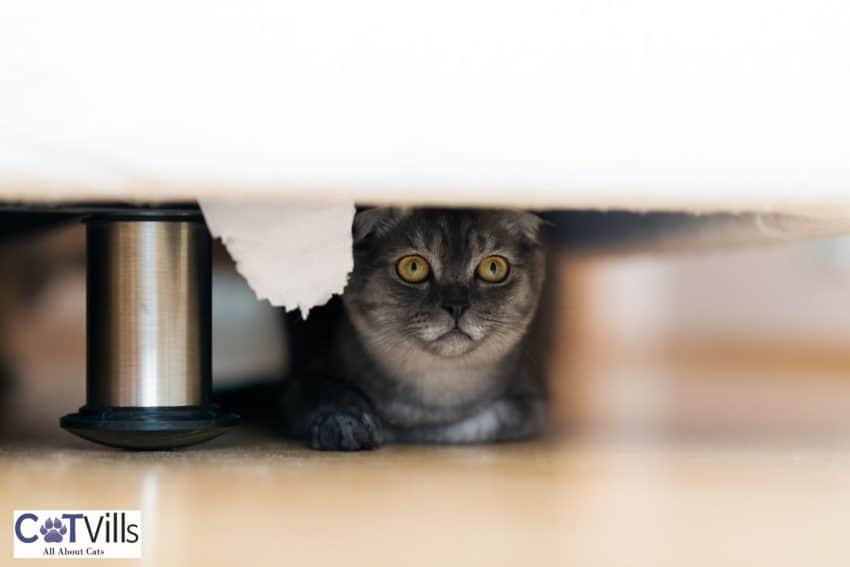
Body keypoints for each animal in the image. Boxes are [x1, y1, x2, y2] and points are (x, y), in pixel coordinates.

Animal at [282, 209, 552, 452]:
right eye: (413, 267)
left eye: (493, 268)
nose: (456, 306)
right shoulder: (300, 380)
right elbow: (326, 391)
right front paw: (344, 421)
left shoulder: (530, 404)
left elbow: (486, 421)